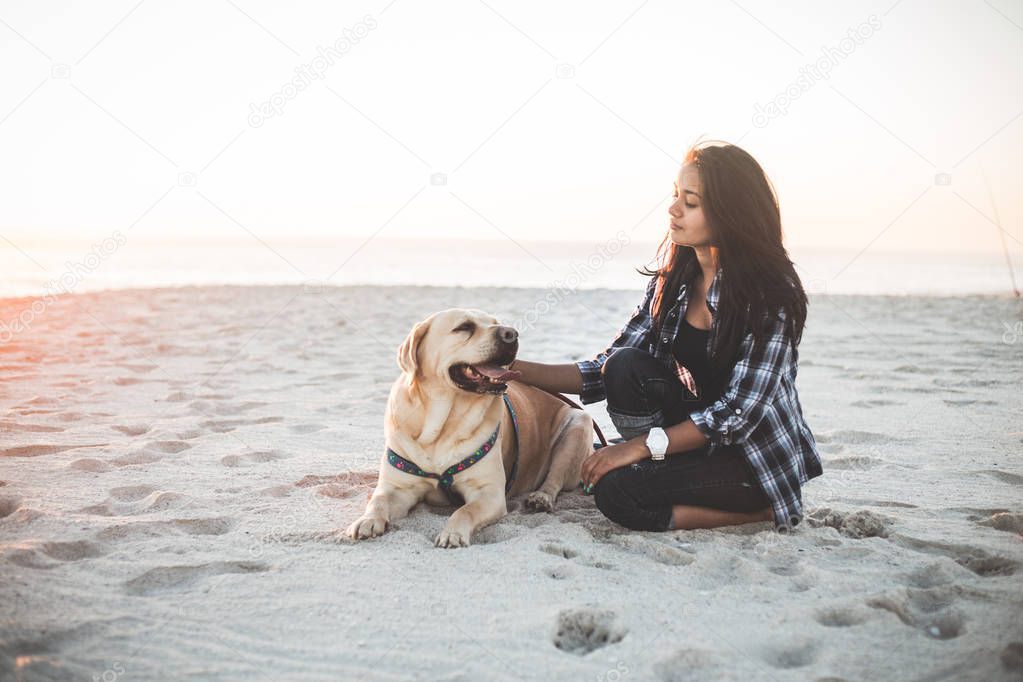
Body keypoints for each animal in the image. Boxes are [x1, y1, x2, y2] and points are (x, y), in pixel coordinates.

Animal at [347, 308, 597, 548]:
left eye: (496, 322)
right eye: (464, 327)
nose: (512, 333)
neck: (442, 422)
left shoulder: (489, 492)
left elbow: (464, 510)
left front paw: (453, 534)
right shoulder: (397, 489)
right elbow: (378, 501)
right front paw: (367, 520)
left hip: (578, 423)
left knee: (554, 479)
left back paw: (541, 498)